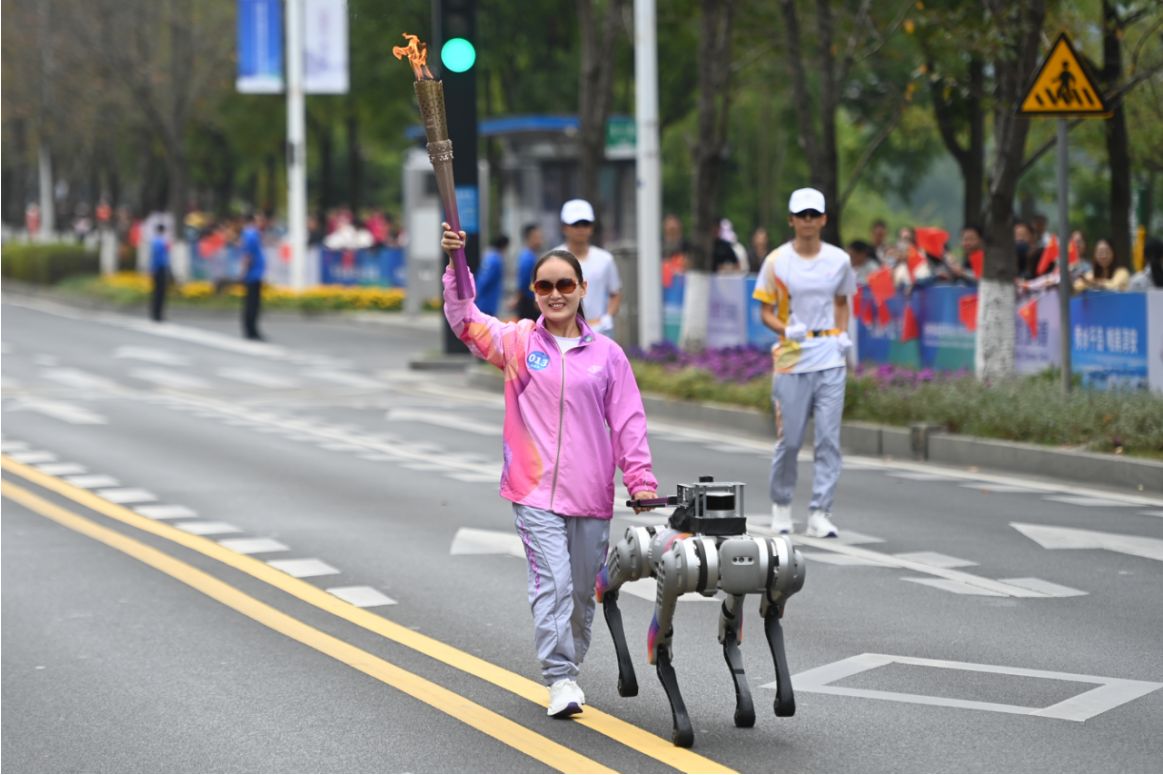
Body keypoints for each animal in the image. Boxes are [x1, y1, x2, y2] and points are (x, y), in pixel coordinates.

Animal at [595, 474, 804, 744]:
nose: (743, 558)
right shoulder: (675, 568)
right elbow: (661, 639)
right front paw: (682, 725)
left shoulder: (780, 570)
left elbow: (756, 618)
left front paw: (776, 701)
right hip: (643, 556)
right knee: (627, 559)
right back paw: (604, 592)